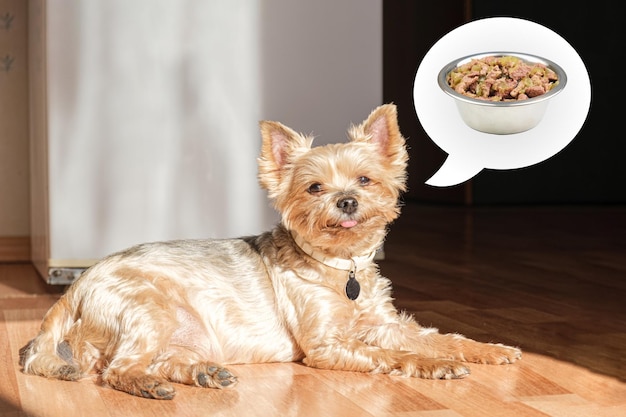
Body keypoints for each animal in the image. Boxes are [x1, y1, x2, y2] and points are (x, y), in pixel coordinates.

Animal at [19, 102, 520, 398]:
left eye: (365, 180)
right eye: (315, 187)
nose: (346, 200)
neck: (341, 266)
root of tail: (78, 284)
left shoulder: (385, 325)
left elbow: (441, 336)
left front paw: (489, 349)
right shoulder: (327, 345)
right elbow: (397, 356)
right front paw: (436, 365)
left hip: (185, 333)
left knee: (163, 360)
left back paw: (203, 373)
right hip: (148, 310)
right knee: (117, 369)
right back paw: (149, 385)